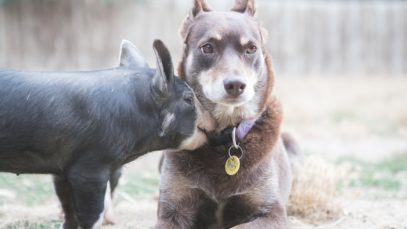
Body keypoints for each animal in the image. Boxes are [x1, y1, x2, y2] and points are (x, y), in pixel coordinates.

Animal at [157, 0, 296, 228]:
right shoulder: (173, 209)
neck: (226, 134)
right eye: (207, 48)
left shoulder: (272, 212)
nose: (236, 85)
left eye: (251, 48)